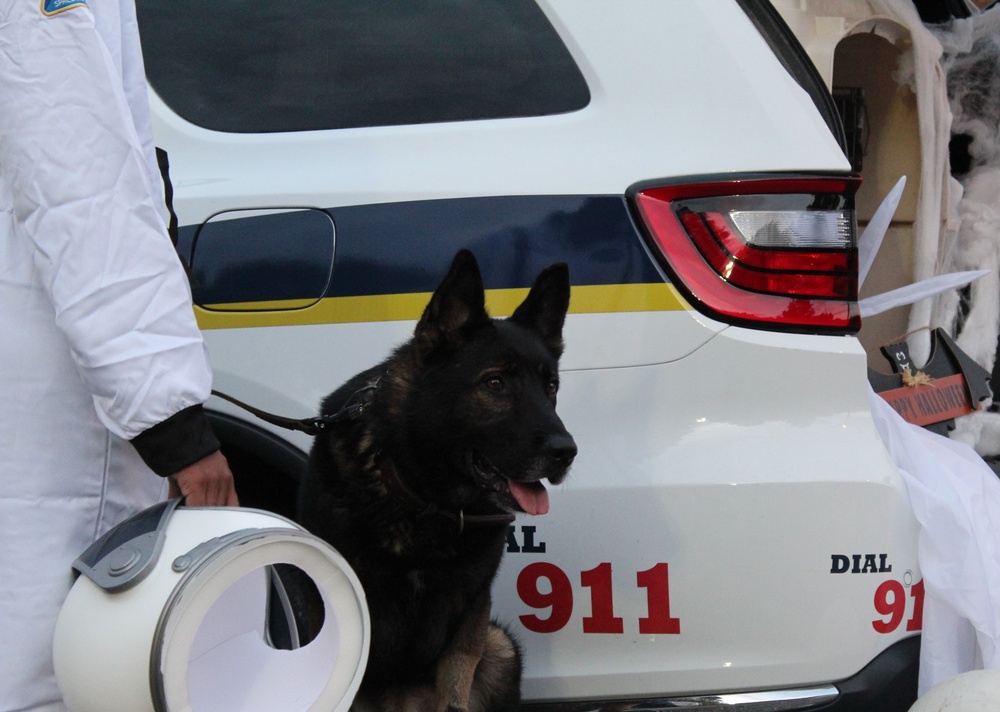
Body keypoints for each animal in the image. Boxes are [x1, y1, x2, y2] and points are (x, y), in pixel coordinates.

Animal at [296, 249, 576, 712]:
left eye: (550, 386)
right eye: (495, 383)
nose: (566, 452)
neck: (422, 498)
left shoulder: (469, 615)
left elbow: (455, 695)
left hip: (500, 647)